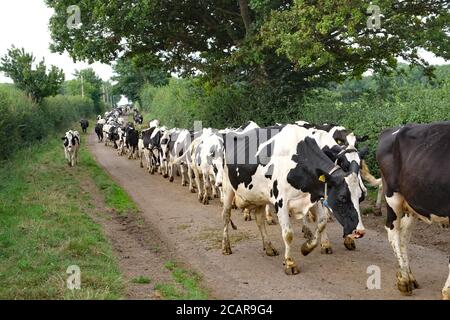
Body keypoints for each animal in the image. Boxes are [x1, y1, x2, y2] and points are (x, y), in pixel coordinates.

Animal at [221, 124, 366, 274]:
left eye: (360, 197)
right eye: (342, 197)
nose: (360, 231)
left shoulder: (314, 196)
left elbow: (321, 222)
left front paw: (307, 247)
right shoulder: (281, 202)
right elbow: (288, 234)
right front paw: (290, 263)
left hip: (259, 195)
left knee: (260, 219)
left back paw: (268, 247)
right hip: (227, 187)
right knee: (226, 216)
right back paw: (226, 246)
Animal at [378, 122, 448, 300]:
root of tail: (391, 130)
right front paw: (447, 291)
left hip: (411, 203)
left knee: (404, 234)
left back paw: (409, 276)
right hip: (393, 196)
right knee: (393, 231)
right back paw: (404, 281)